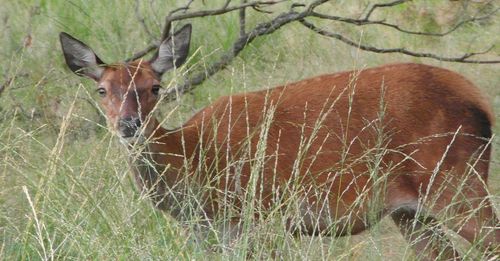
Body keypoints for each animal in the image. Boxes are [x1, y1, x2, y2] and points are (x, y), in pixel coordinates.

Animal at [60, 23, 498, 258]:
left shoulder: (254, 216)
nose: (129, 124)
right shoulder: (207, 232)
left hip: (455, 181)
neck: (192, 160)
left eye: (155, 87)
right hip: (411, 211)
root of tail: (479, 102)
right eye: (102, 90)